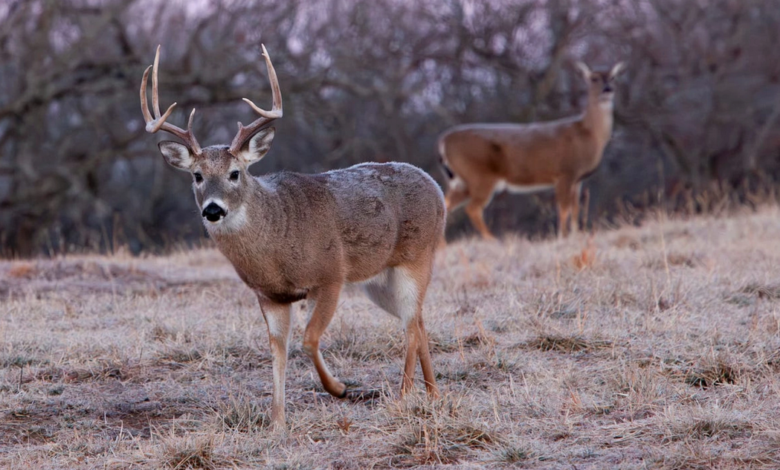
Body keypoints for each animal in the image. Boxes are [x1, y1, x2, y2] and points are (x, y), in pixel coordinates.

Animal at [139, 46, 442, 428]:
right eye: (196, 176)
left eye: (235, 173)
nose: (212, 209)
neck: (277, 243)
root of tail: (436, 188)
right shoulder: (270, 295)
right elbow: (277, 350)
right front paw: (277, 422)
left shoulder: (330, 275)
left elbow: (309, 339)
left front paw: (339, 388)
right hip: (378, 282)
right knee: (417, 319)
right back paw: (432, 393)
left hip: (416, 258)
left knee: (411, 323)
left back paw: (404, 396)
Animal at [438, 61, 628, 239]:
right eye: (594, 78)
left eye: (612, 77)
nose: (607, 89)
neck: (588, 134)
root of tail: (443, 141)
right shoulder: (565, 172)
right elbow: (564, 209)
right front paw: (562, 236)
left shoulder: (577, 178)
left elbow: (575, 209)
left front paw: (575, 234)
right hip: (480, 175)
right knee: (472, 208)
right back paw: (493, 240)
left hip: (462, 180)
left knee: (446, 203)